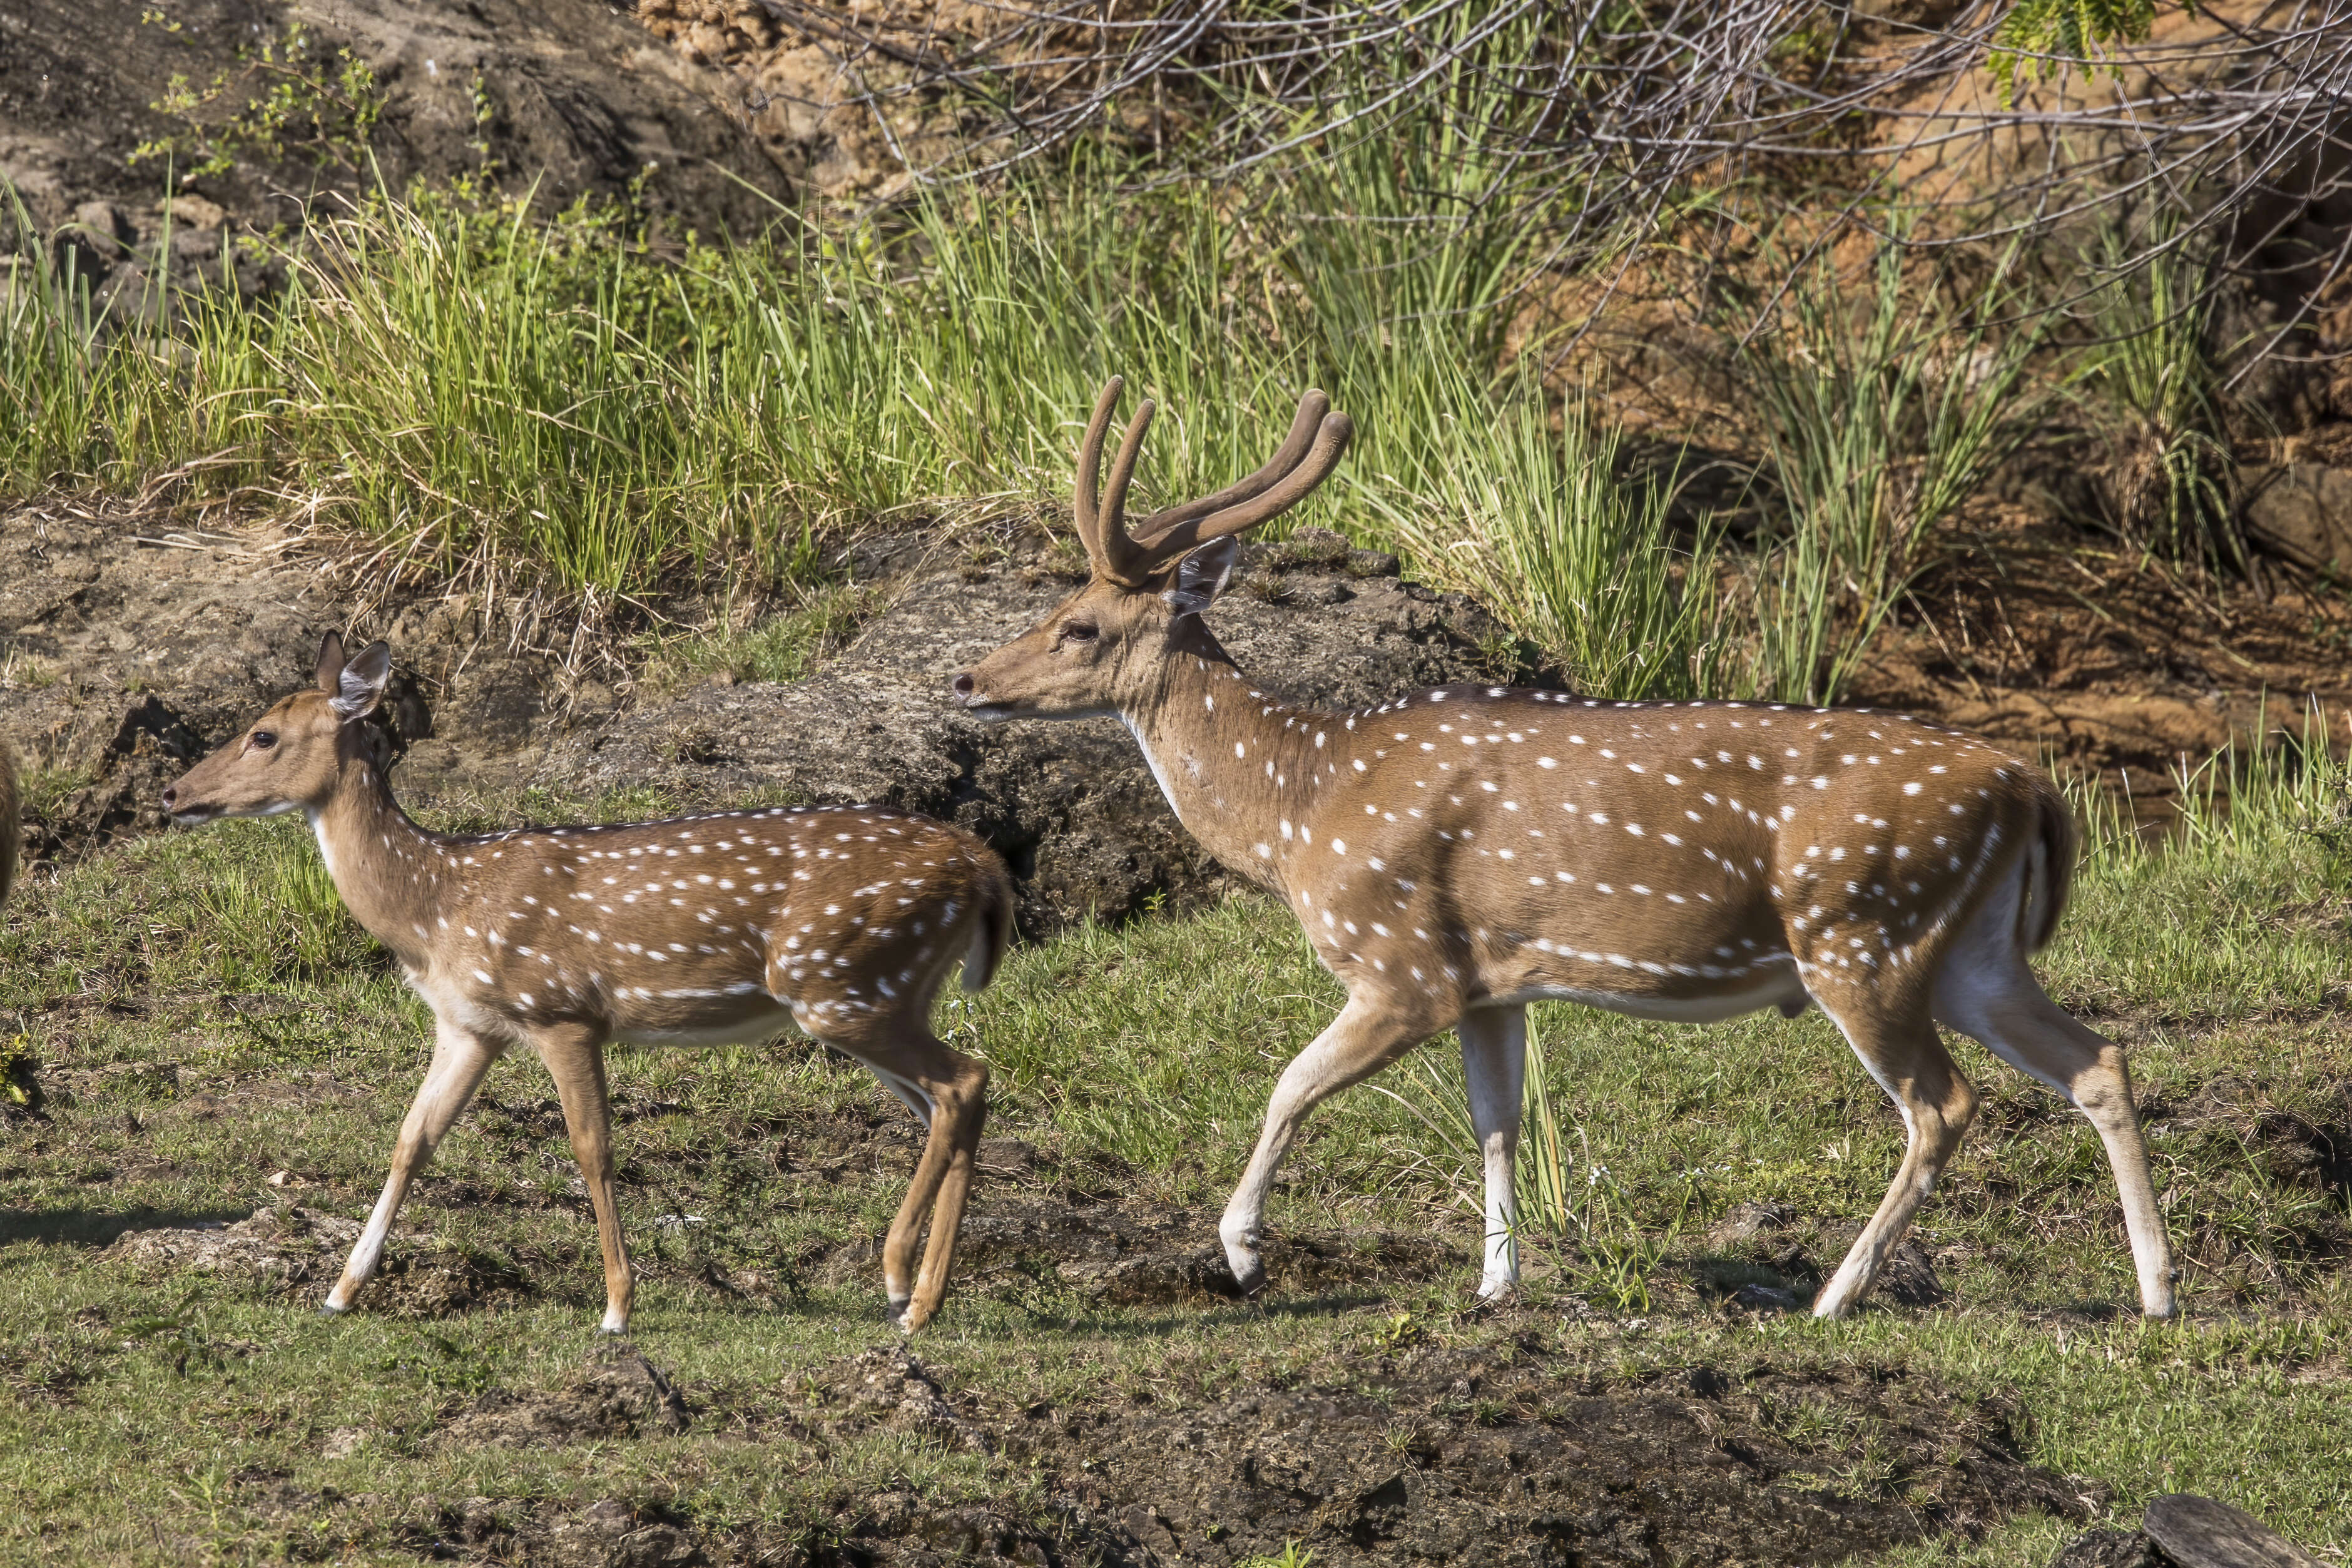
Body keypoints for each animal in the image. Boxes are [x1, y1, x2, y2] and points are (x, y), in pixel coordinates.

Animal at [163, 639, 1011, 1335]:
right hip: (880, 991)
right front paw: (341, 1290)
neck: (436, 909)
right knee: (956, 1098)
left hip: (844, 983)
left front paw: (617, 1307)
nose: (173, 794)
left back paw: (903, 1285)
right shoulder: (470, 1024)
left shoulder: (562, 1010)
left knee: (964, 1080)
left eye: (263, 734)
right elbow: (412, 1139)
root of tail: (981, 865)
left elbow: (592, 1148)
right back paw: (922, 1296)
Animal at [945, 383, 2173, 1326]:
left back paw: (1833, 1296)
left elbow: (1288, 1080)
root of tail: (2028, 787)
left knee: (1942, 1106)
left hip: (1862, 931)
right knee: (2093, 1060)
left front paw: (1242, 1250)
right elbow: (1496, 1121)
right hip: (1968, 947)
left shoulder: (1398, 963)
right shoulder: (1489, 980)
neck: (1299, 809)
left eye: (1079, 627)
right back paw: (2157, 1292)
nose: (966, 679)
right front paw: (1495, 1284)